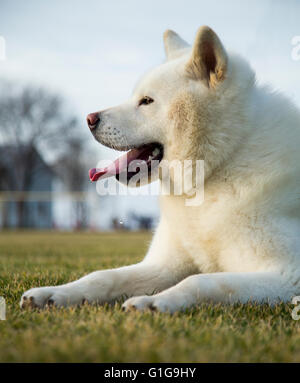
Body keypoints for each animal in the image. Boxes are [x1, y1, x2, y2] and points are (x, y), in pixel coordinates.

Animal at [22, 27, 300, 316]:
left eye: (146, 101)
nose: (89, 119)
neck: (222, 161)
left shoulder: (287, 275)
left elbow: (201, 280)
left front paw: (154, 302)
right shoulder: (164, 266)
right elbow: (104, 275)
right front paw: (55, 293)